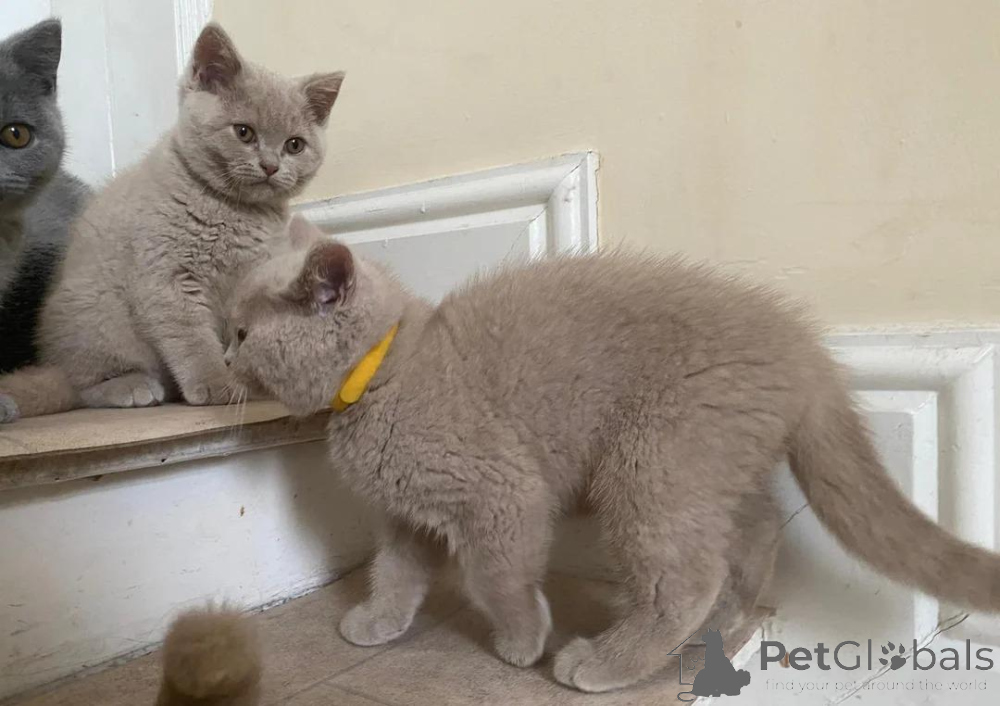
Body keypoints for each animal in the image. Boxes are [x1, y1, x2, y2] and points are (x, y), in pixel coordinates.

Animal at [222, 216, 1000, 693]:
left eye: (243, 332)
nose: (220, 352)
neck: (383, 373)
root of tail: (806, 354)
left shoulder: (502, 492)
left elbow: (495, 576)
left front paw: (521, 639)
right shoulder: (405, 515)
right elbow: (395, 573)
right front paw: (378, 623)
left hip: (651, 462)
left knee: (684, 577)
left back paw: (605, 660)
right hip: (705, 466)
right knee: (749, 534)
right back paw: (732, 617)